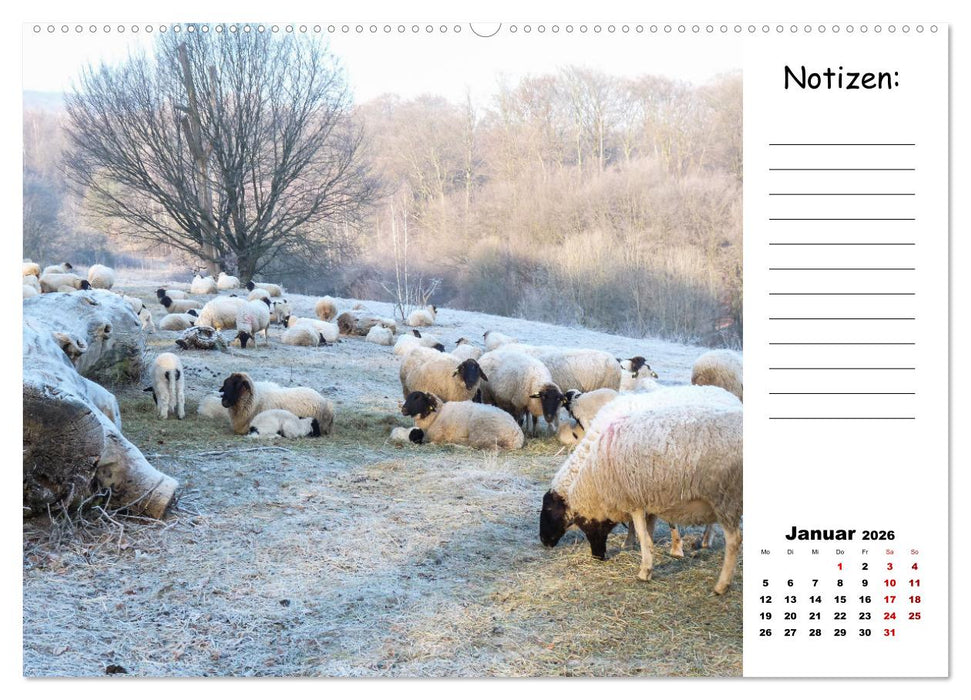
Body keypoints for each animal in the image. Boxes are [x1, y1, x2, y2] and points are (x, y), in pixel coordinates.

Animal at [539, 387, 742, 594]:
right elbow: (647, 530)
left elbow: (648, 531)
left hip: (725, 497)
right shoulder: (650, 494)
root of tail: (727, 393)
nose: (544, 541)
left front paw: (657, 561)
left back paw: (718, 576)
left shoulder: (639, 494)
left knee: (733, 539)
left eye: (549, 510)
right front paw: (636, 545)